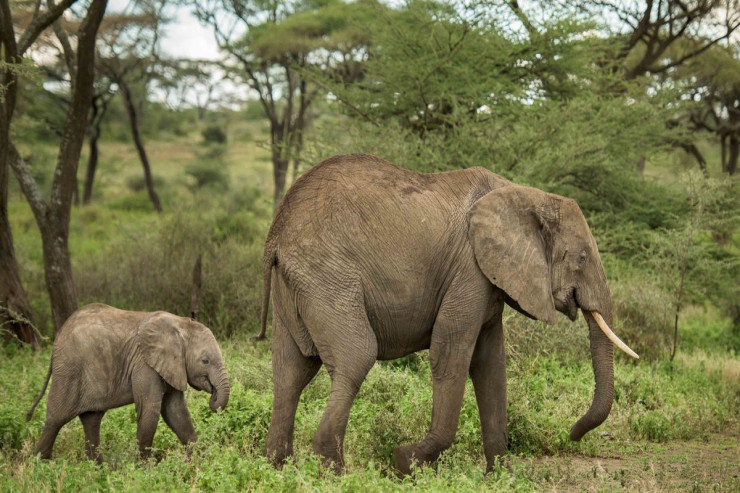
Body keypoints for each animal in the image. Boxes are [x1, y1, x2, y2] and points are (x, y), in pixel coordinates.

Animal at [26, 304, 228, 462]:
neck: (180, 324)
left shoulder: (170, 367)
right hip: (69, 369)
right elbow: (150, 411)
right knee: (56, 419)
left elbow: (176, 412)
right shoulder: (144, 364)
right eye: (205, 361)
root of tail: (57, 338)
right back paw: (40, 466)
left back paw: (99, 470)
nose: (213, 398)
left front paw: (200, 462)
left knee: (91, 420)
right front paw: (145, 471)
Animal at [258, 153, 640, 472]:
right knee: (356, 355)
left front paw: (503, 476)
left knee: (291, 370)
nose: (572, 434)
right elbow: (451, 352)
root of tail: (275, 235)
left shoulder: (489, 280)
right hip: (326, 276)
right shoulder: (469, 270)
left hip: (296, 285)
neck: (526, 195)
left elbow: (490, 363)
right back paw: (333, 471)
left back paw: (276, 467)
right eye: (582, 258)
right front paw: (405, 462)